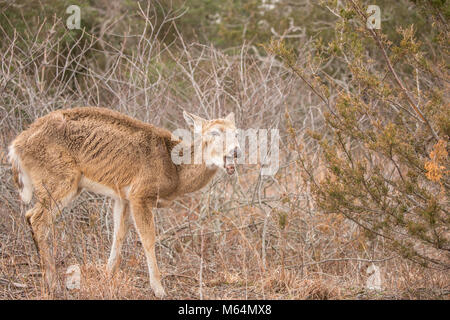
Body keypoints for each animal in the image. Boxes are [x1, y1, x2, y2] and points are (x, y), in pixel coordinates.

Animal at [7, 107, 239, 298]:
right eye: (214, 133)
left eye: (236, 132)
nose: (236, 150)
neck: (175, 170)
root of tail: (16, 146)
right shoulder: (139, 193)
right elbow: (148, 238)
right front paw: (159, 289)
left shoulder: (123, 197)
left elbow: (118, 234)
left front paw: (107, 275)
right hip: (60, 178)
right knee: (36, 218)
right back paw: (52, 283)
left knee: (32, 216)